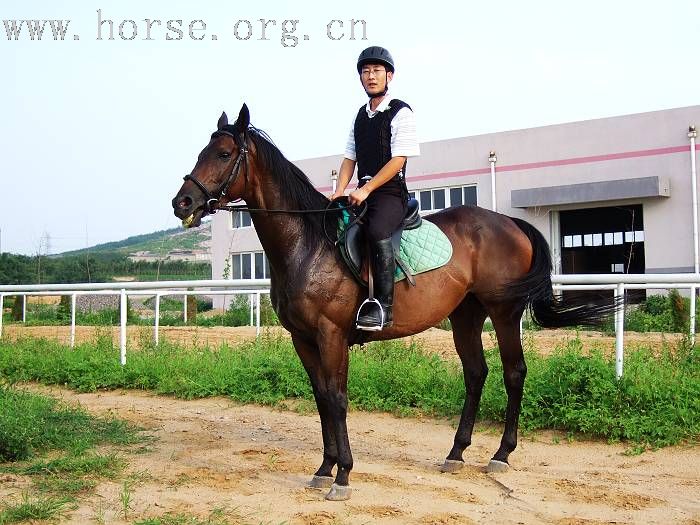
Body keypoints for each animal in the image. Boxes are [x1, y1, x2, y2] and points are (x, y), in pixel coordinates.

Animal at [172, 103, 616, 500]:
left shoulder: (331, 335)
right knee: (476, 373)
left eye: (224, 154)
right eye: (202, 151)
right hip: (465, 315)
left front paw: (343, 476)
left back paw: (501, 455)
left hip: (504, 313)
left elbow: (337, 398)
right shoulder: (303, 339)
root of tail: (509, 222)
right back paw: (456, 453)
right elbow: (320, 397)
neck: (307, 245)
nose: (182, 203)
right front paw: (324, 467)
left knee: (514, 373)